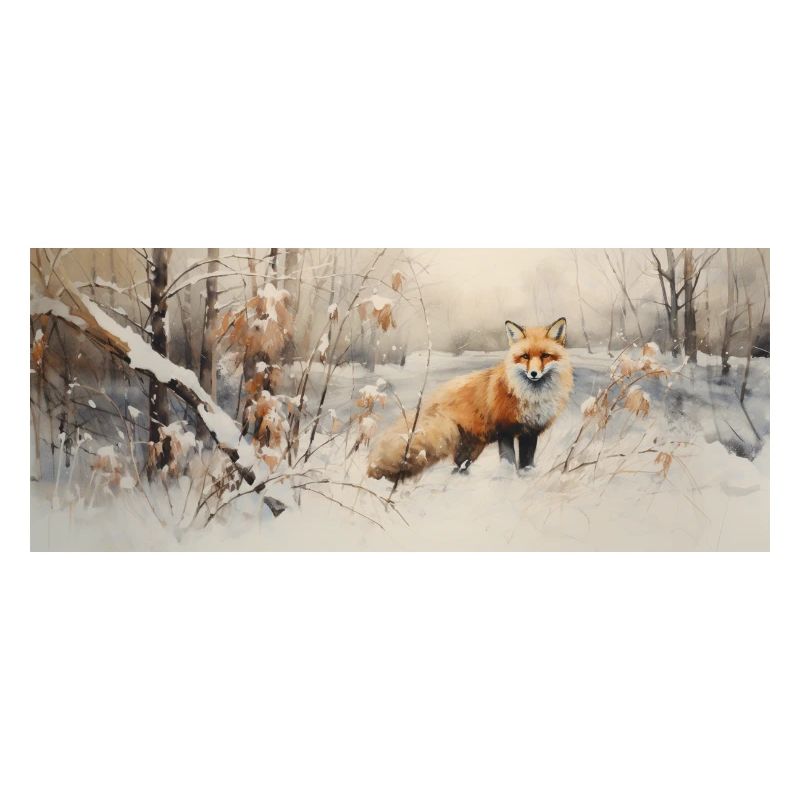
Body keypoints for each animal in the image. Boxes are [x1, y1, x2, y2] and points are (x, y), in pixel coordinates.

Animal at [367, 317, 573, 481]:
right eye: (525, 356)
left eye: (545, 356)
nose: (533, 374)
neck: (531, 397)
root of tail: (431, 400)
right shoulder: (505, 429)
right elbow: (508, 460)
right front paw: (507, 478)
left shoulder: (530, 432)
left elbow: (527, 461)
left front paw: (526, 476)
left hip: (471, 448)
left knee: (459, 466)